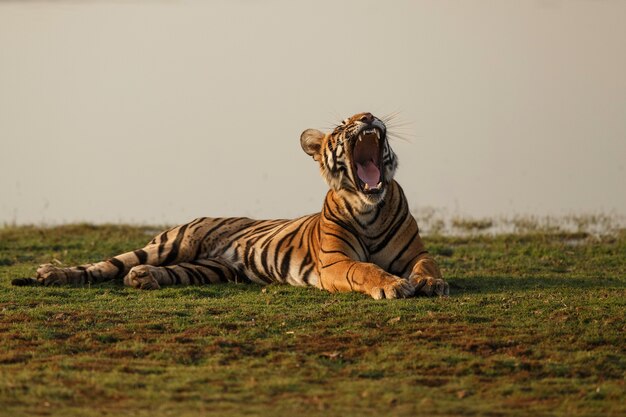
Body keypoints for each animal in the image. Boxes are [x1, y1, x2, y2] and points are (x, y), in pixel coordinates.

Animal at [11, 112, 448, 298]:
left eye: (369, 111)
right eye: (343, 126)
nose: (369, 117)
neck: (368, 206)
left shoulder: (417, 251)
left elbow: (428, 264)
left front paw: (430, 282)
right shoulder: (335, 263)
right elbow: (366, 269)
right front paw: (393, 285)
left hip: (207, 268)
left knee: (156, 273)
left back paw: (143, 279)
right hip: (169, 244)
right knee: (102, 266)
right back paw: (51, 273)